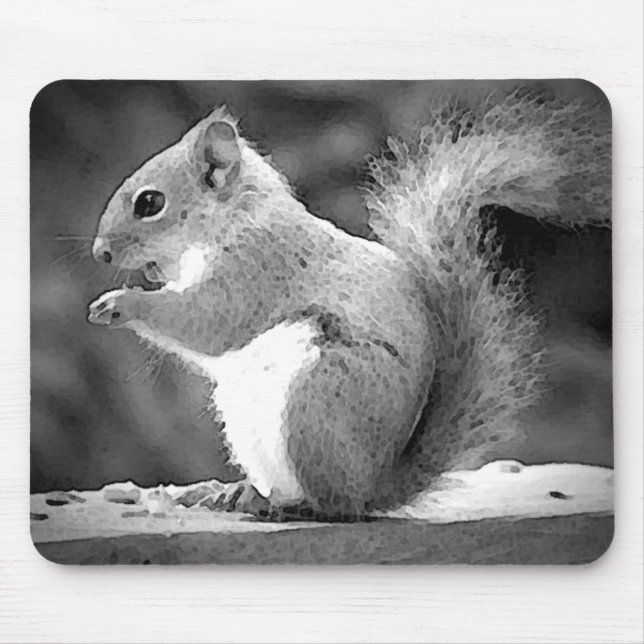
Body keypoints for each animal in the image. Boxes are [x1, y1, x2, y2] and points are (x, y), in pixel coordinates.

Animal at [87, 87, 611, 521]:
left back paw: (287, 505)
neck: (233, 218)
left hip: (317, 402)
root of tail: (373, 489)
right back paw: (235, 492)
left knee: (332, 504)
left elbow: (206, 322)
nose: (100, 253)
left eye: (149, 203)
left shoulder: (257, 270)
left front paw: (122, 302)